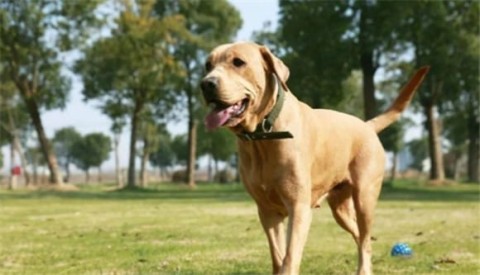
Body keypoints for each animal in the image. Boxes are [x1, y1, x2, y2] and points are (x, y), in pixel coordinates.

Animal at [200, 41, 428, 275]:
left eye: (238, 62)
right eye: (208, 65)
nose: (206, 84)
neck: (262, 135)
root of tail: (367, 125)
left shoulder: (298, 207)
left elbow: (290, 257)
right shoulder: (267, 211)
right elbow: (278, 256)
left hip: (365, 196)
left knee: (365, 239)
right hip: (340, 208)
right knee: (360, 236)